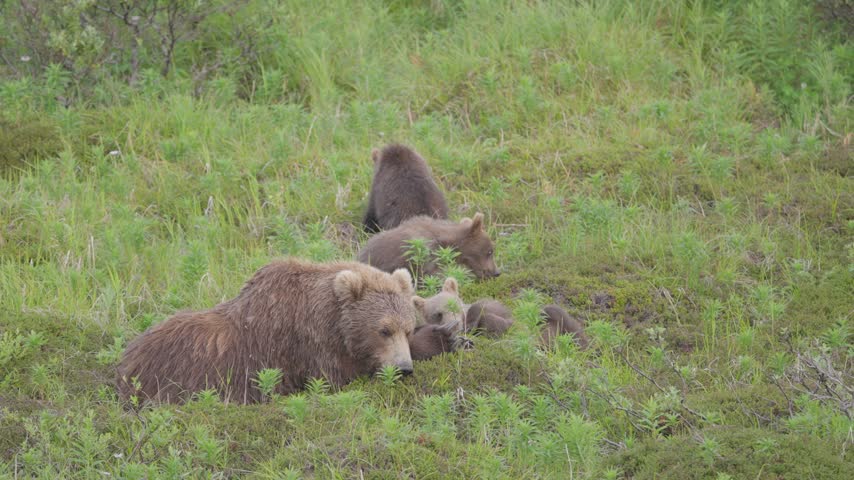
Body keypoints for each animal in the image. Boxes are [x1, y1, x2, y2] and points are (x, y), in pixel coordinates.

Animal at [116, 259, 419, 404]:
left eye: (408, 329)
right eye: (384, 330)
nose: (404, 368)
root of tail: (126, 358)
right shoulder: (311, 349)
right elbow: (333, 380)